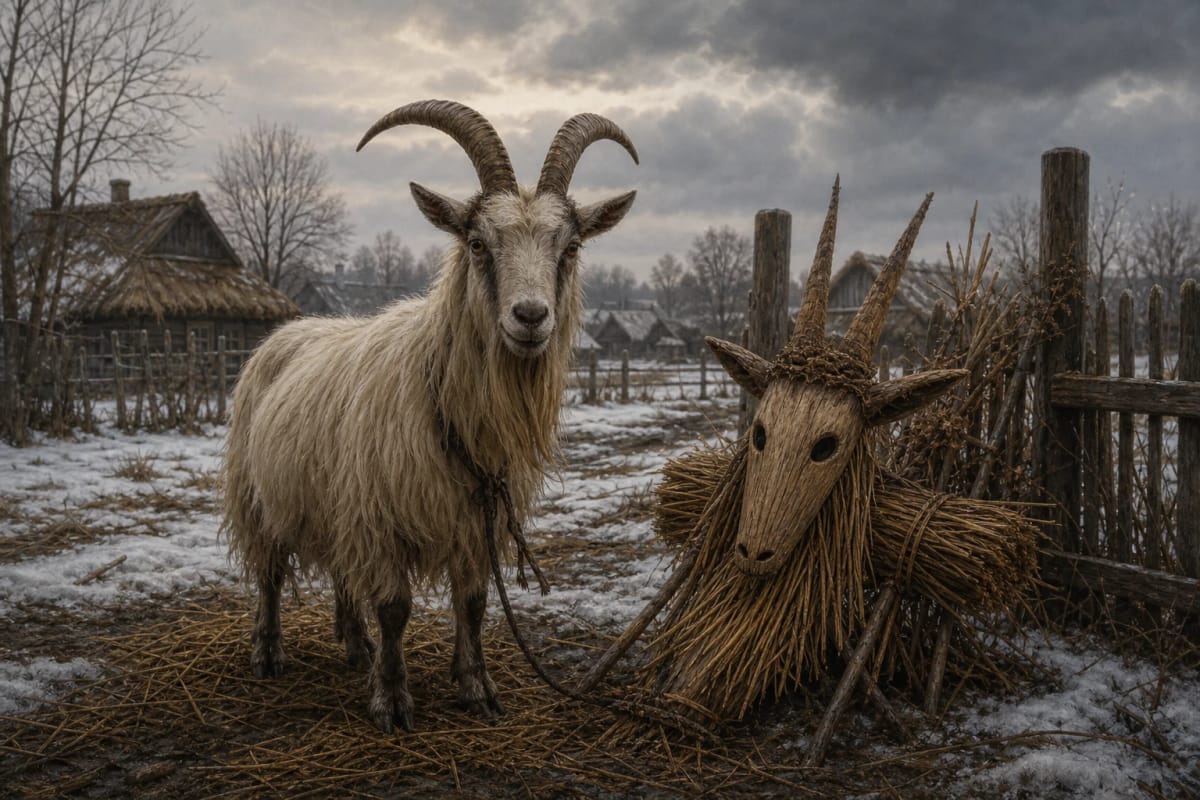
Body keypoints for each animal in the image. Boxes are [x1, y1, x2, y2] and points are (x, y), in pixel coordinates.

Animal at [222, 100, 638, 733]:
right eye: (477, 243)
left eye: (569, 248)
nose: (531, 316)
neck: (443, 398)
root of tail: (287, 333)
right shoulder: (382, 514)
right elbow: (395, 607)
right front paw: (392, 701)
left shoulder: (474, 519)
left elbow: (474, 604)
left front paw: (476, 688)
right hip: (260, 493)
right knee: (269, 573)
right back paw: (269, 654)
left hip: (337, 499)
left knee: (344, 575)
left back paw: (356, 646)